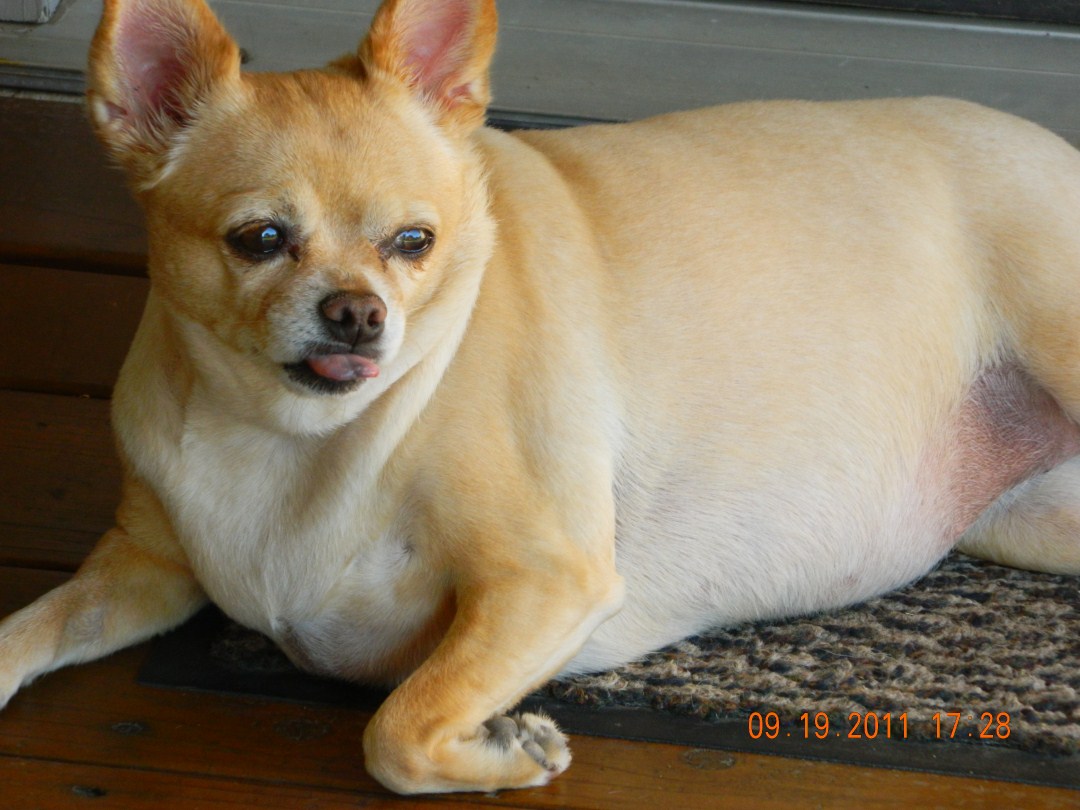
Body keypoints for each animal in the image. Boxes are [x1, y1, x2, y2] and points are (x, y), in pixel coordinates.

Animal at [2, 0, 1079, 794]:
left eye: (415, 243)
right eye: (260, 240)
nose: (358, 313)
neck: (288, 437)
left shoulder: (545, 579)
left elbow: (397, 727)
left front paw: (506, 750)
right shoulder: (142, 568)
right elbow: (31, 626)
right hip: (1030, 524)